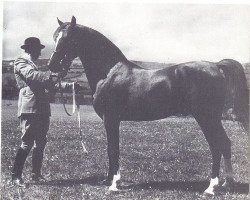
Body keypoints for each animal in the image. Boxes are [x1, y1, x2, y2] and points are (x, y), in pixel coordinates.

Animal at [47, 16, 249, 195]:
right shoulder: (110, 120)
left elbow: (113, 149)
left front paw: (114, 184)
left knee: (217, 145)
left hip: (207, 118)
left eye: (68, 39)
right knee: (225, 144)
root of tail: (216, 66)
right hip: (212, 119)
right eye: (55, 37)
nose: (52, 65)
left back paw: (211, 187)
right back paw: (227, 184)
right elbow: (110, 148)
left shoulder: (111, 118)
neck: (109, 73)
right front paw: (108, 179)